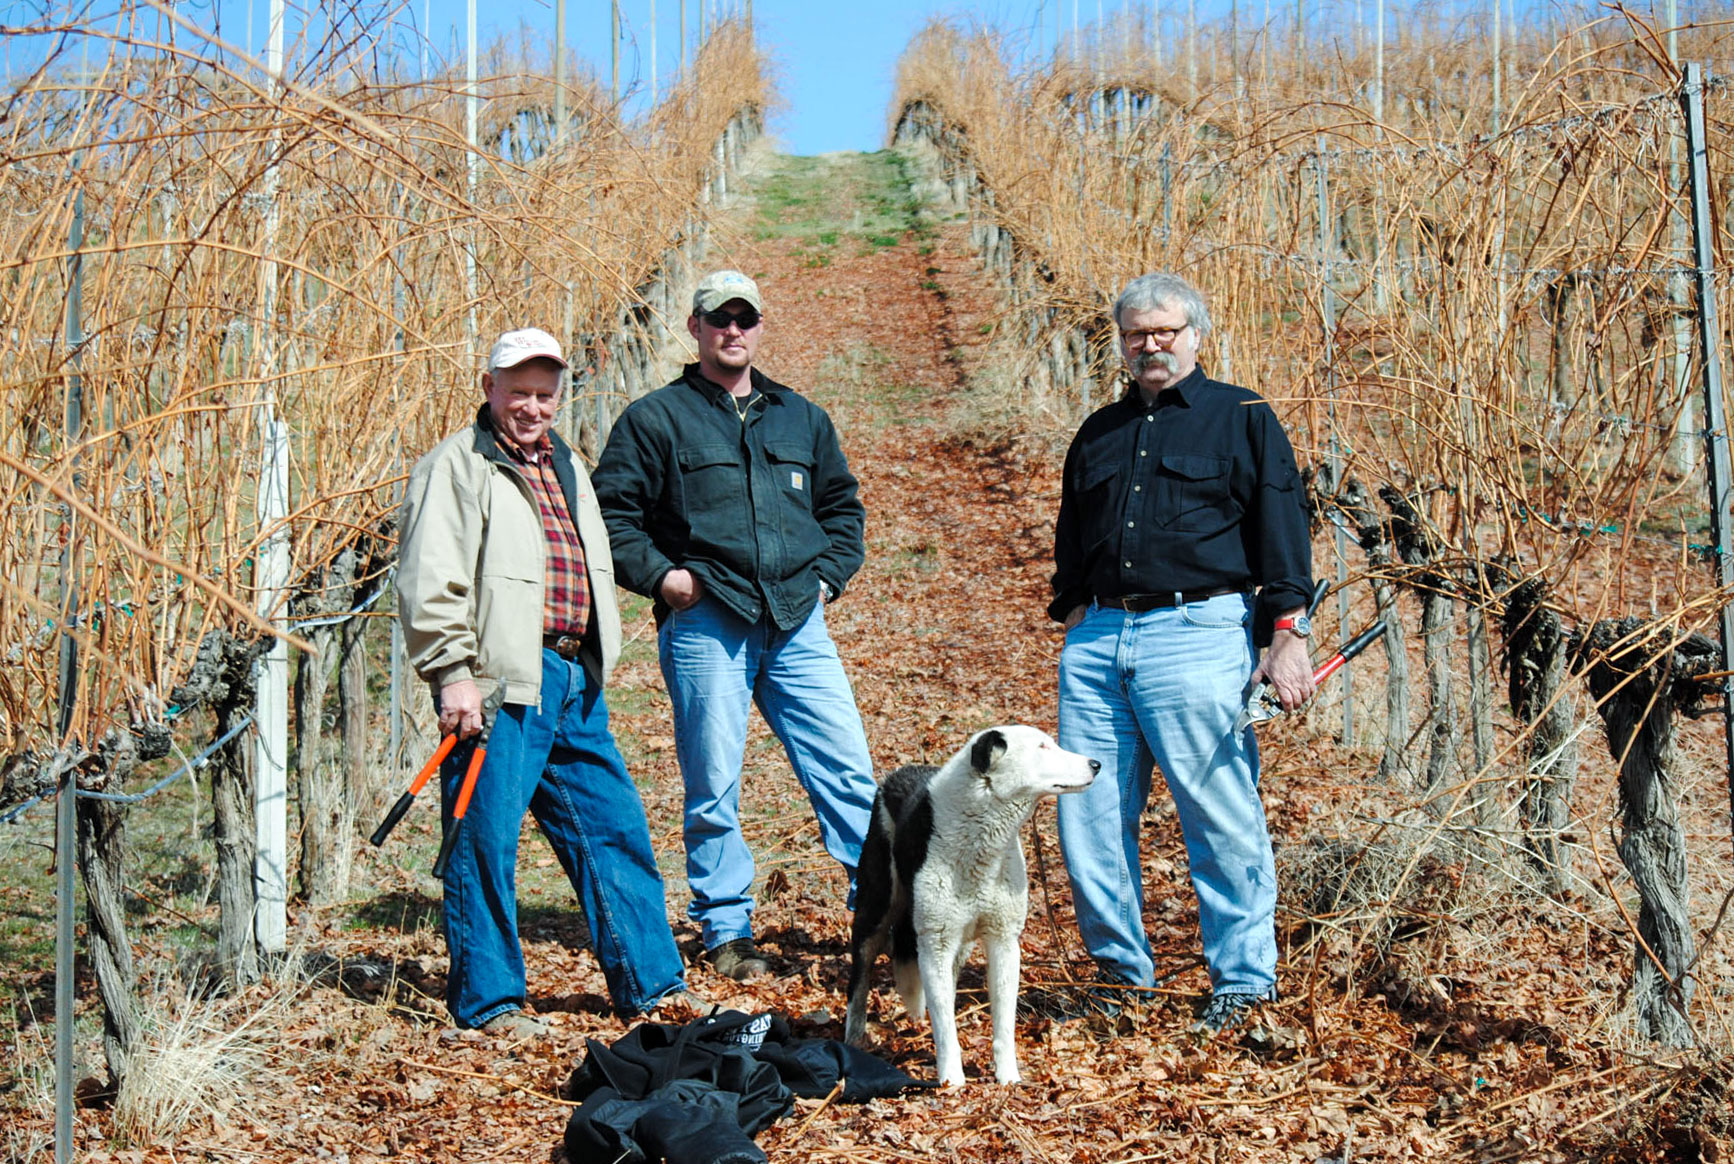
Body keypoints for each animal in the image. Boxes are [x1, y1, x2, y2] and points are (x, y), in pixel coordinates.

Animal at [843, 726, 1098, 1086]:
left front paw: (1008, 1077)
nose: (1096, 764)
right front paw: (952, 1082)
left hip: (957, 944)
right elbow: (945, 1027)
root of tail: (895, 776)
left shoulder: (1004, 942)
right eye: (1042, 747)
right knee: (860, 977)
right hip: (876, 909)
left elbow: (1003, 1021)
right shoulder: (935, 943)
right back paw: (854, 1037)